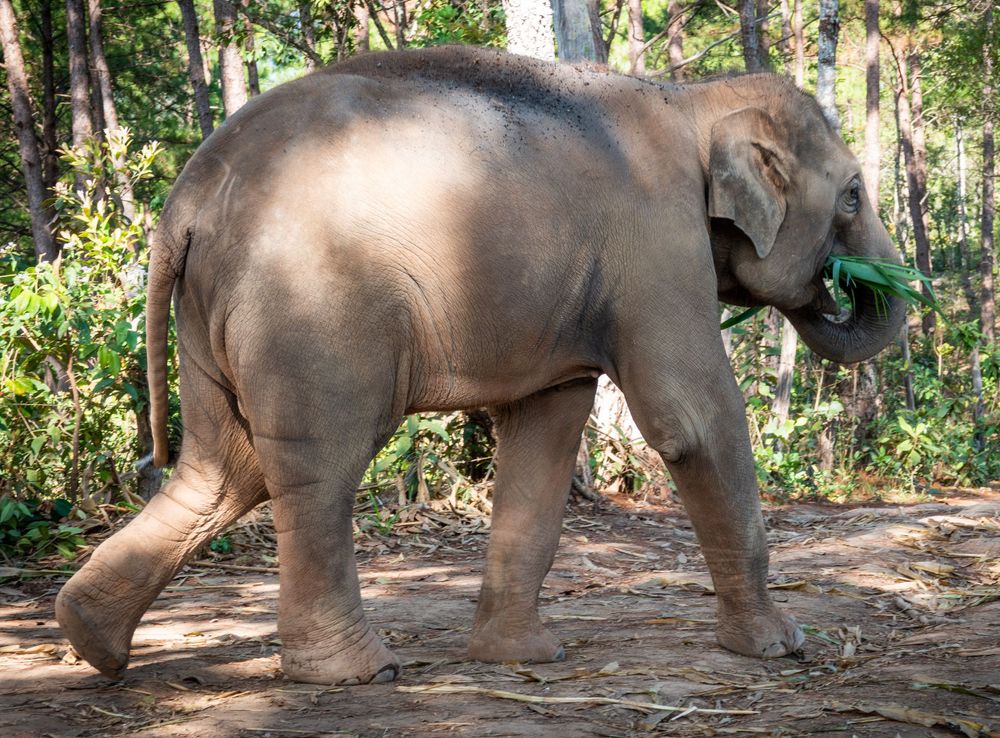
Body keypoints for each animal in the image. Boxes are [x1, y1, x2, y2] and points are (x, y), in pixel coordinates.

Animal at [55, 45, 905, 685]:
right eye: (853, 195)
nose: (847, 283)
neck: (691, 101)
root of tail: (184, 202)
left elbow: (548, 430)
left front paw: (521, 657)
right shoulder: (658, 244)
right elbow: (691, 420)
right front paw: (778, 646)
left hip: (210, 319)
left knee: (222, 469)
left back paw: (94, 643)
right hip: (310, 312)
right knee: (316, 467)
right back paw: (357, 672)